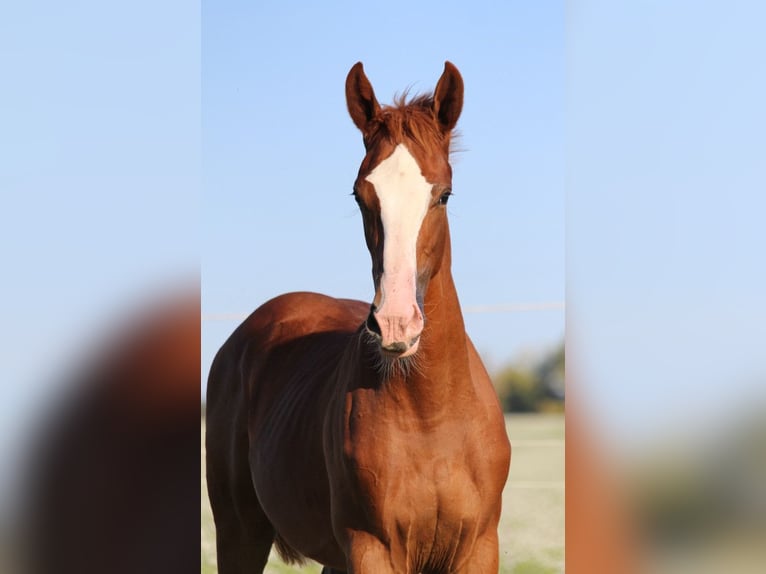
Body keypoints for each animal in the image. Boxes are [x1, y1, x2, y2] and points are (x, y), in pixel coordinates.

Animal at [206, 61, 511, 574]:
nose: (396, 323)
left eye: (444, 195)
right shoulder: (372, 549)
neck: (431, 414)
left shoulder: (478, 549)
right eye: (359, 195)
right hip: (239, 534)